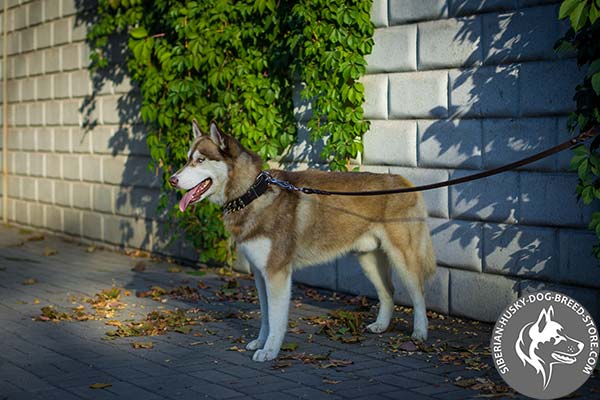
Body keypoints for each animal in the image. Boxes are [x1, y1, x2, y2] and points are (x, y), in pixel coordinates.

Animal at [169, 120, 436, 360]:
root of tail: (404, 180)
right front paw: (260, 342)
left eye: (200, 160)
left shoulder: (277, 273)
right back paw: (381, 325)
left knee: (419, 294)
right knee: (388, 291)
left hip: (403, 258)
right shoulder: (260, 274)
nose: (172, 179)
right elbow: (265, 316)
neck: (252, 194)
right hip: (368, 259)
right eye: (187, 159)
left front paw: (270, 351)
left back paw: (420, 333)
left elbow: (276, 319)